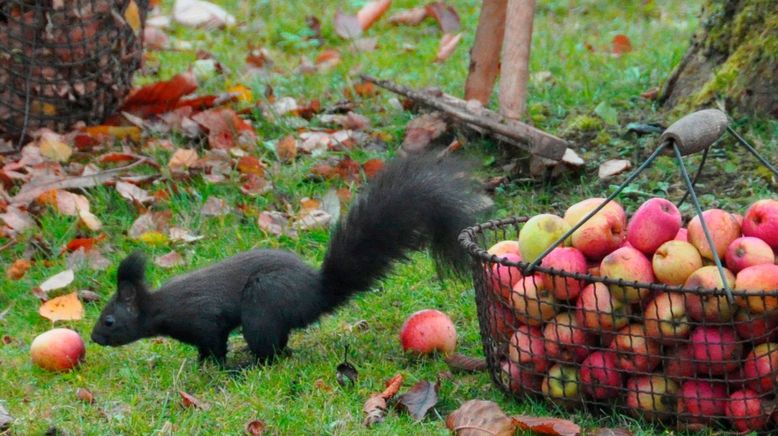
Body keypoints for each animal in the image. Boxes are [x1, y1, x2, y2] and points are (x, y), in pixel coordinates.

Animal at [89, 153, 478, 364]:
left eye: (109, 320)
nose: (93, 338)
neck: (159, 307)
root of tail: (317, 294)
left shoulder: (202, 317)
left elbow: (214, 342)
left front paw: (214, 365)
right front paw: (201, 363)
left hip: (263, 303)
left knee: (270, 352)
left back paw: (246, 365)